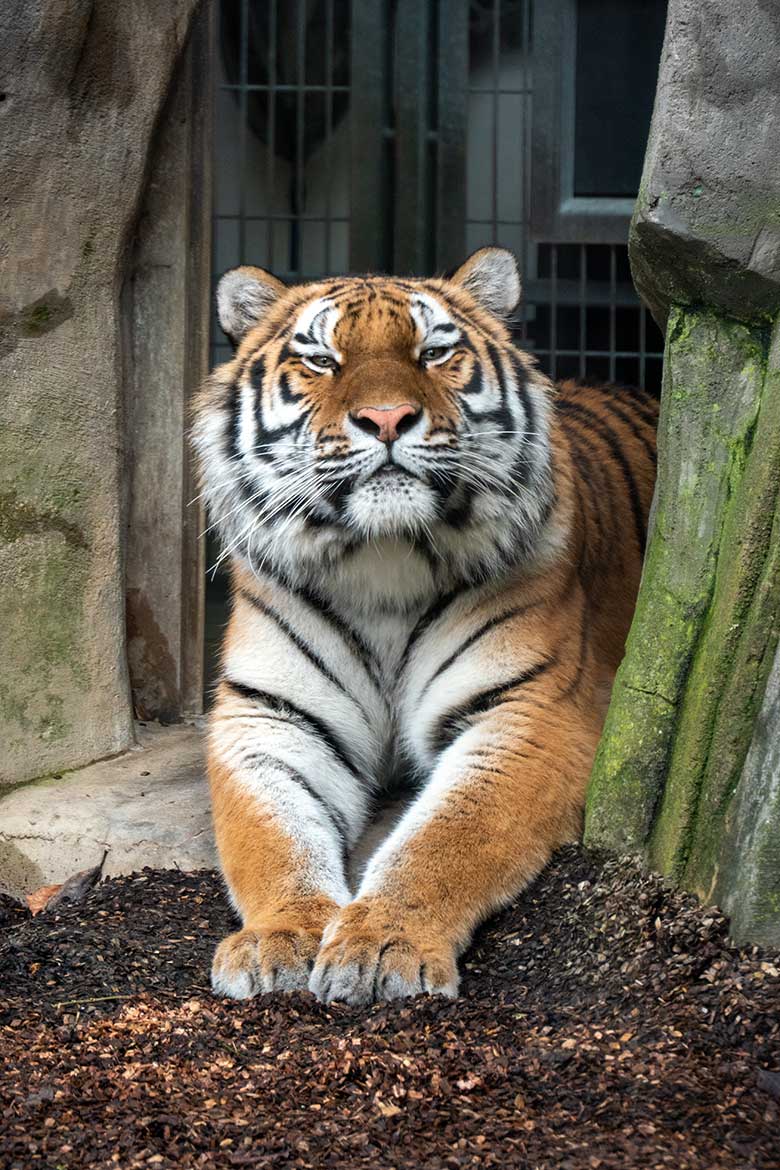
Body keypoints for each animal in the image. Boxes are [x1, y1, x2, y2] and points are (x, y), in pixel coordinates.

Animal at [191, 246, 654, 1006]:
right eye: (321, 358)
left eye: (434, 351)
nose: (386, 418)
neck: (384, 561)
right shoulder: (269, 717)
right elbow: (275, 838)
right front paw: (279, 937)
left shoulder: (528, 712)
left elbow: (442, 839)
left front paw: (383, 944)